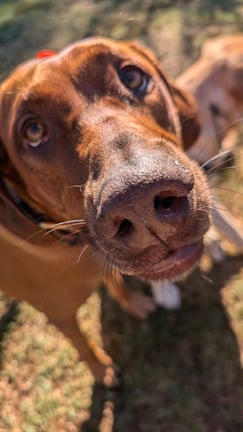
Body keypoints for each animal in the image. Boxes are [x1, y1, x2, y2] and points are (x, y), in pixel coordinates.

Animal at [0, 38, 209, 384]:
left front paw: (134, 303)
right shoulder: (58, 313)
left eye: (133, 77)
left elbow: (116, 281)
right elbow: (81, 343)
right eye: (33, 132)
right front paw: (102, 370)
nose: (139, 201)